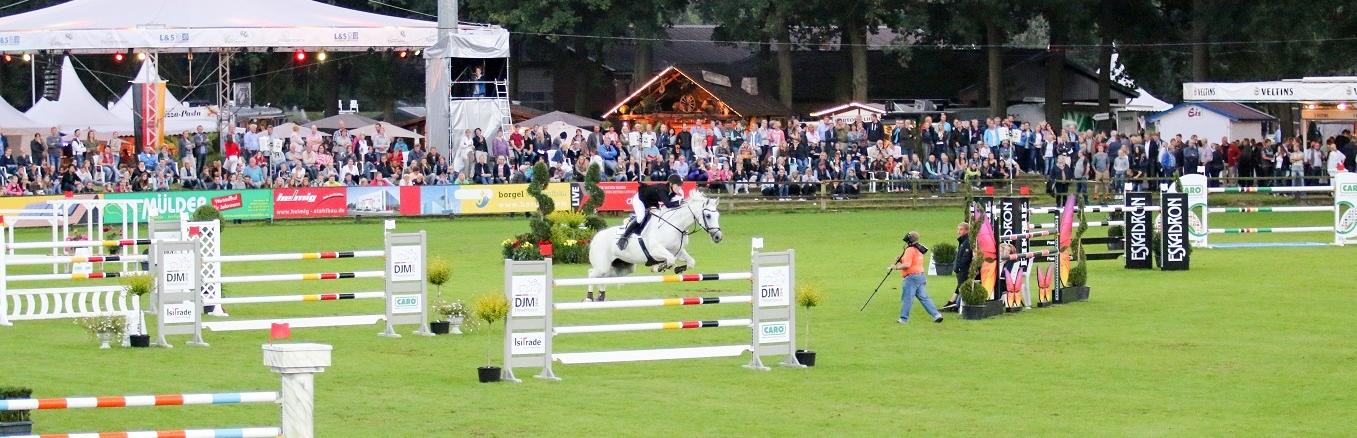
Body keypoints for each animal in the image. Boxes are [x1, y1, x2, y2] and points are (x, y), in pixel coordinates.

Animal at [586, 191, 727, 302]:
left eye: (718, 215)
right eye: (708, 215)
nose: (718, 237)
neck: (676, 226)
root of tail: (598, 236)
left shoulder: (678, 251)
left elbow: (690, 262)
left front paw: (677, 269)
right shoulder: (656, 251)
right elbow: (670, 260)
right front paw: (658, 268)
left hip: (624, 267)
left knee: (603, 277)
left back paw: (601, 297)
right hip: (603, 265)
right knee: (592, 274)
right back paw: (589, 298)